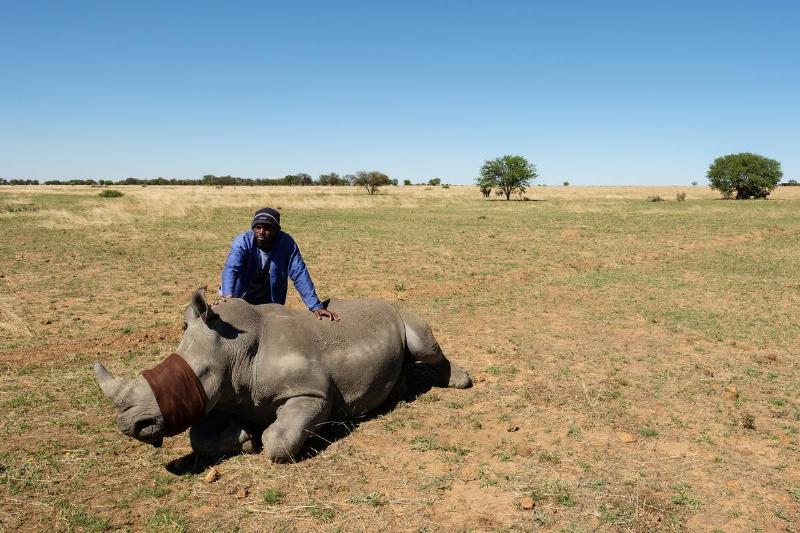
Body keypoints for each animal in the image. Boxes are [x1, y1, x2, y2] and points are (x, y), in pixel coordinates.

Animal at [94, 288, 471, 462]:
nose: (129, 426)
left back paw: (461, 381)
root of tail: (387, 301)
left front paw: (259, 440)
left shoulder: (313, 392)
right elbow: (197, 437)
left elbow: (279, 440)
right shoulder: (220, 398)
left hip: (402, 312)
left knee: (423, 343)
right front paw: (244, 438)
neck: (234, 349)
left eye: (199, 374)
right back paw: (399, 393)